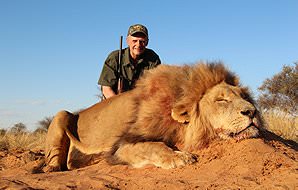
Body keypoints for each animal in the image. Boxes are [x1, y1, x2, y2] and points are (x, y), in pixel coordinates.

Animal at [43, 61, 260, 171]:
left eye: (243, 96)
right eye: (221, 100)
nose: (252, 111)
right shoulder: (120, 147)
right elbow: (153, 145)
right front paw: (180, 157)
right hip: (61, 115)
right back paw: (52, 169)